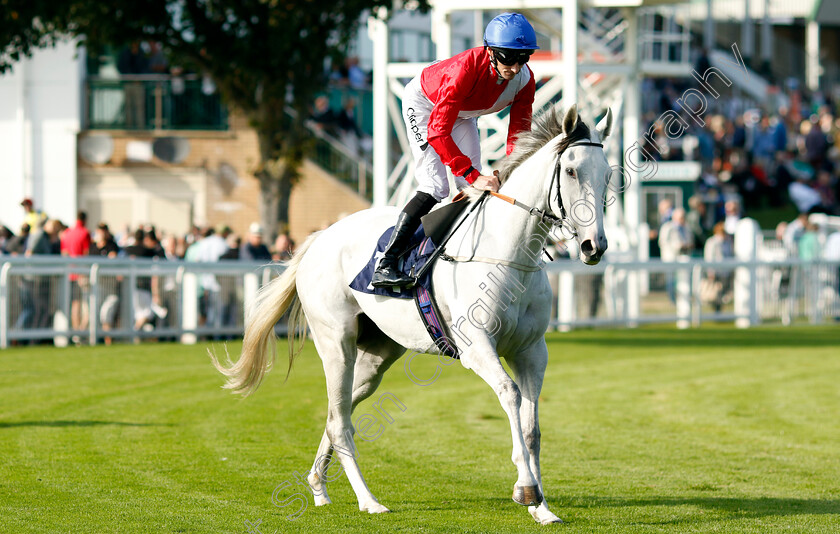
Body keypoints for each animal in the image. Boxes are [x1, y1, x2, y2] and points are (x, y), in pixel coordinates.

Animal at [213, 105, 612, 528]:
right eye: (571, 170)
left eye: (607, 174)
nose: (594, 246)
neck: (509, 252)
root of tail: (319, 238)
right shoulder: (477, 348)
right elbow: (510, 394)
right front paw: (527, 489)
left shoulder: (532, 351)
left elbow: (531, 425)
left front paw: (542, 506)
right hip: (336, 343)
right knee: (340, 421)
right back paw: (368, 500)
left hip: (377, 355)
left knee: (340, 410)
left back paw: (318, 486)